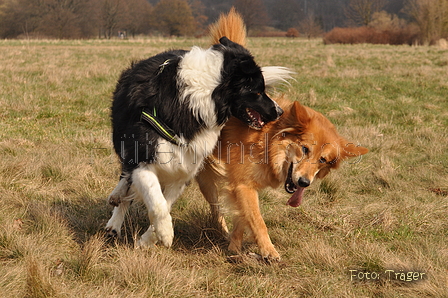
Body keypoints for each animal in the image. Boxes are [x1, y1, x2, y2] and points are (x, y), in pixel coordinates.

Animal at [104, 37, 288, 249]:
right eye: (258, 91)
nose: (280, 111)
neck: (196, 101)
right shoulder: (143, 158)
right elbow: (157, 202)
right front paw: (166, 233)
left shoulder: (184, 168)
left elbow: (165, 203)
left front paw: (148, 240)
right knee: (126, 179)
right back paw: (115, 219)